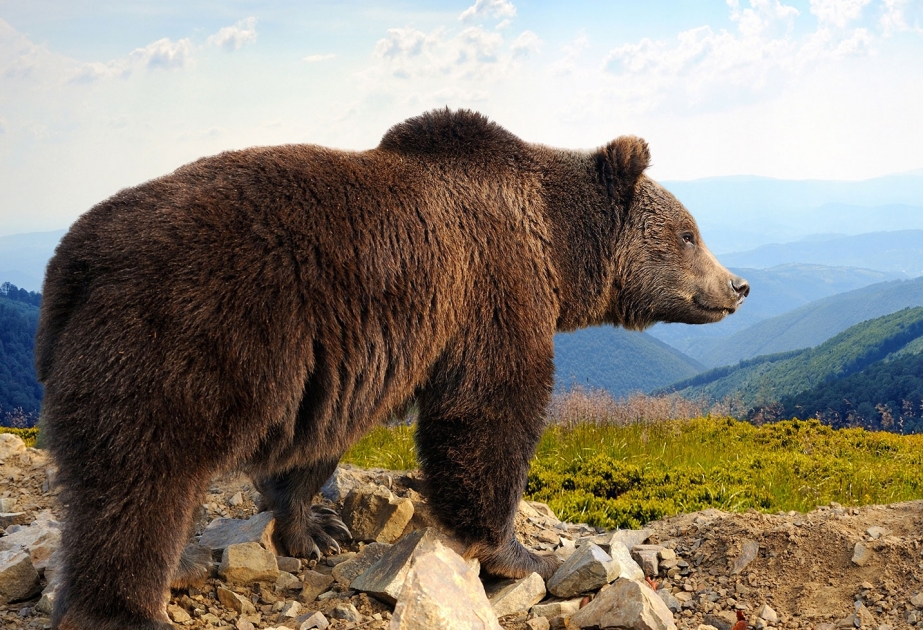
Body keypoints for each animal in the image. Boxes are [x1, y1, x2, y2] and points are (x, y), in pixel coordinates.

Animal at [36, 108, 748, 630]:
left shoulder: (349, 358)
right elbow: (490, 413)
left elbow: (321, 441)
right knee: (138, 486)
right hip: (180, 339)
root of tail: (73, 261)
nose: (737, 286)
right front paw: (521, 554)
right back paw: (123, 609)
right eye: (689, 233)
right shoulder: (492, 290)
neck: (556, 245)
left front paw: (316, 528)